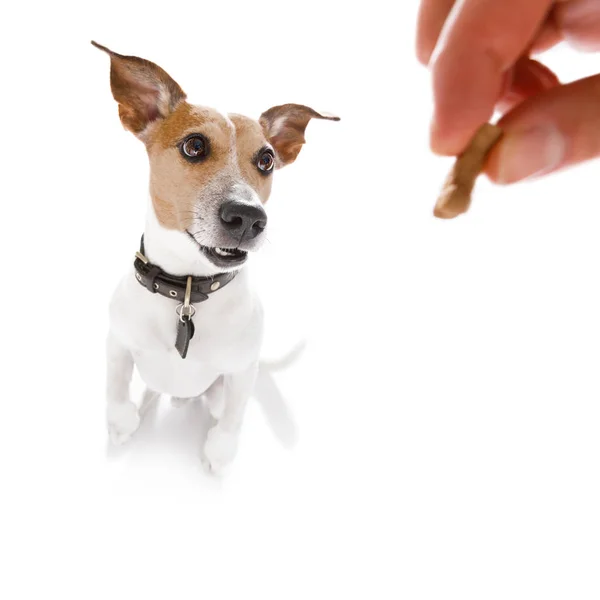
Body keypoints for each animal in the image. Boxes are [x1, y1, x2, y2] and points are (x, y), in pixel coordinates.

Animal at [93, 43, 338, 474]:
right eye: (194, 146)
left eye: (266, 160)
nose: (248, 217)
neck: (188, 292)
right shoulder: (117, 345)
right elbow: (116, 393)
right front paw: (121, 427)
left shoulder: (240, 373)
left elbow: (231, 421)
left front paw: (219, 454)